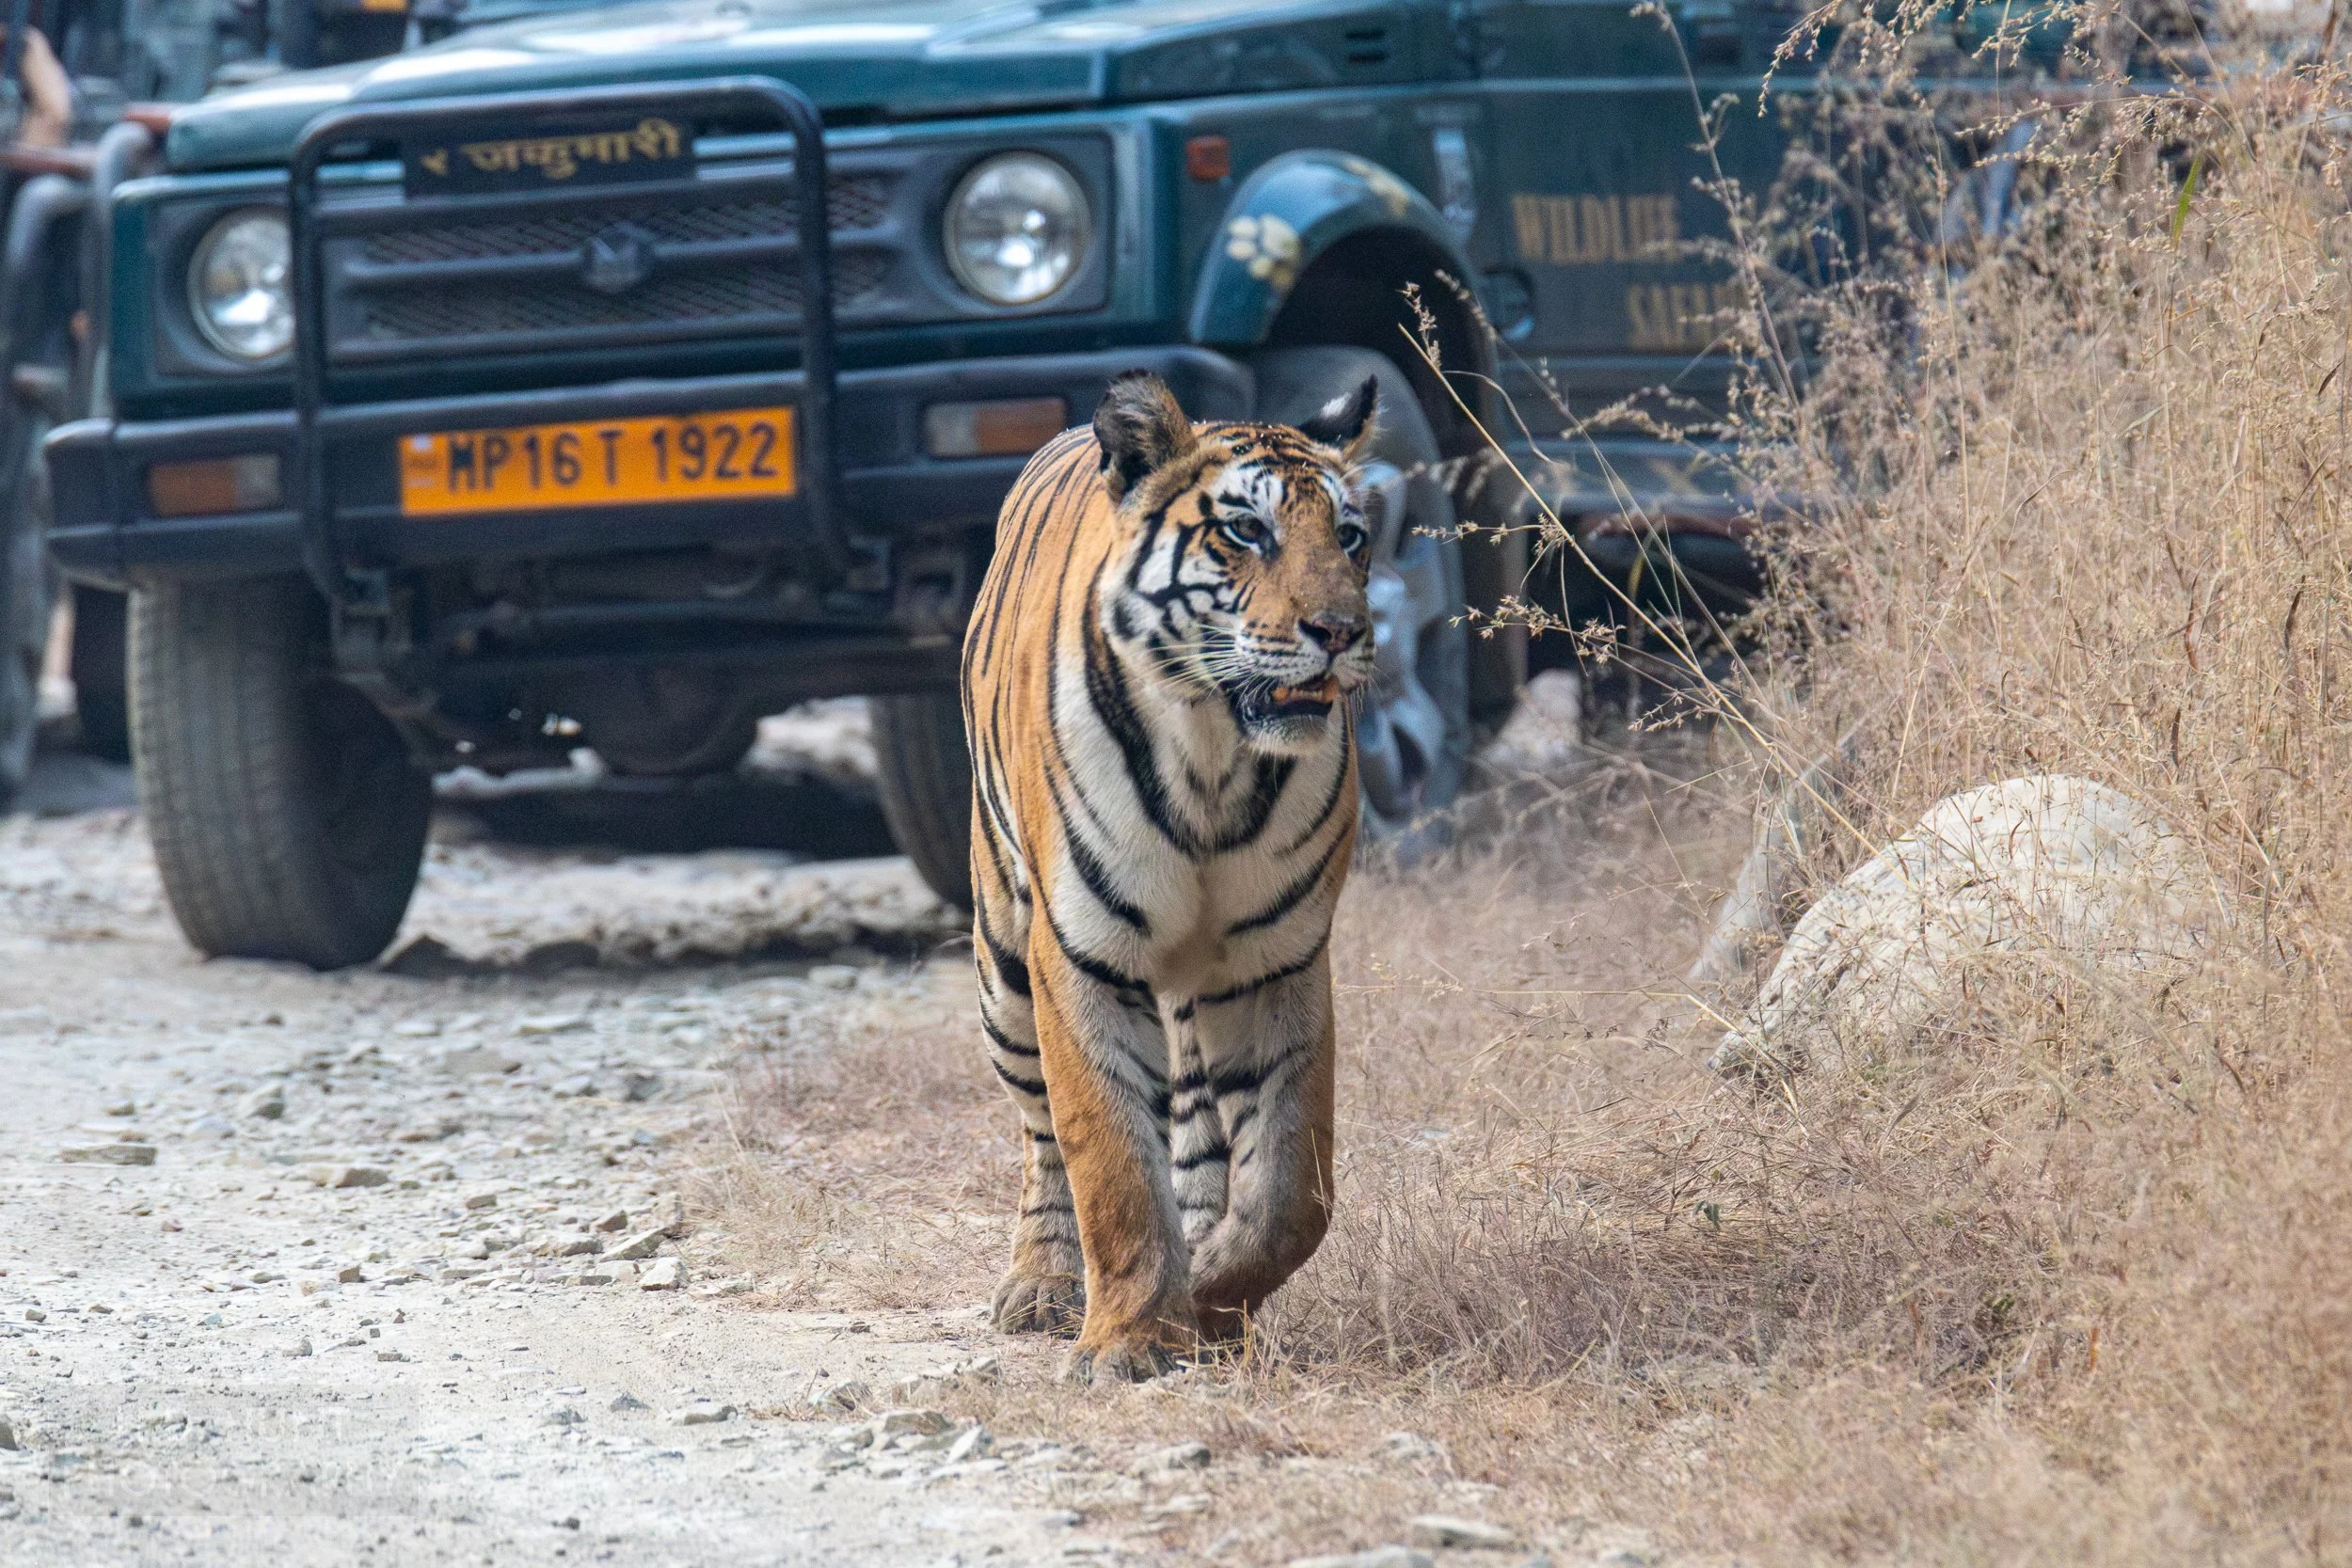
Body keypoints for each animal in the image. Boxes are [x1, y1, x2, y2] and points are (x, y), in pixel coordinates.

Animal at [961, 368, 1380, 1384]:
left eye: (1350, 536)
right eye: (1247, 530)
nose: (1342, 629)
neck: (1214, 761)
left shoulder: (1278, 960)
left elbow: (1291, 1187)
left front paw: (1215, 1293)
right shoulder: (1081, 956)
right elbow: (1109, 1161)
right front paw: (1131, 1338)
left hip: (1196, 983)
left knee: (1196, 1129)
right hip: (1003, 961)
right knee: (1039, 1132)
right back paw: (1042, 1283)